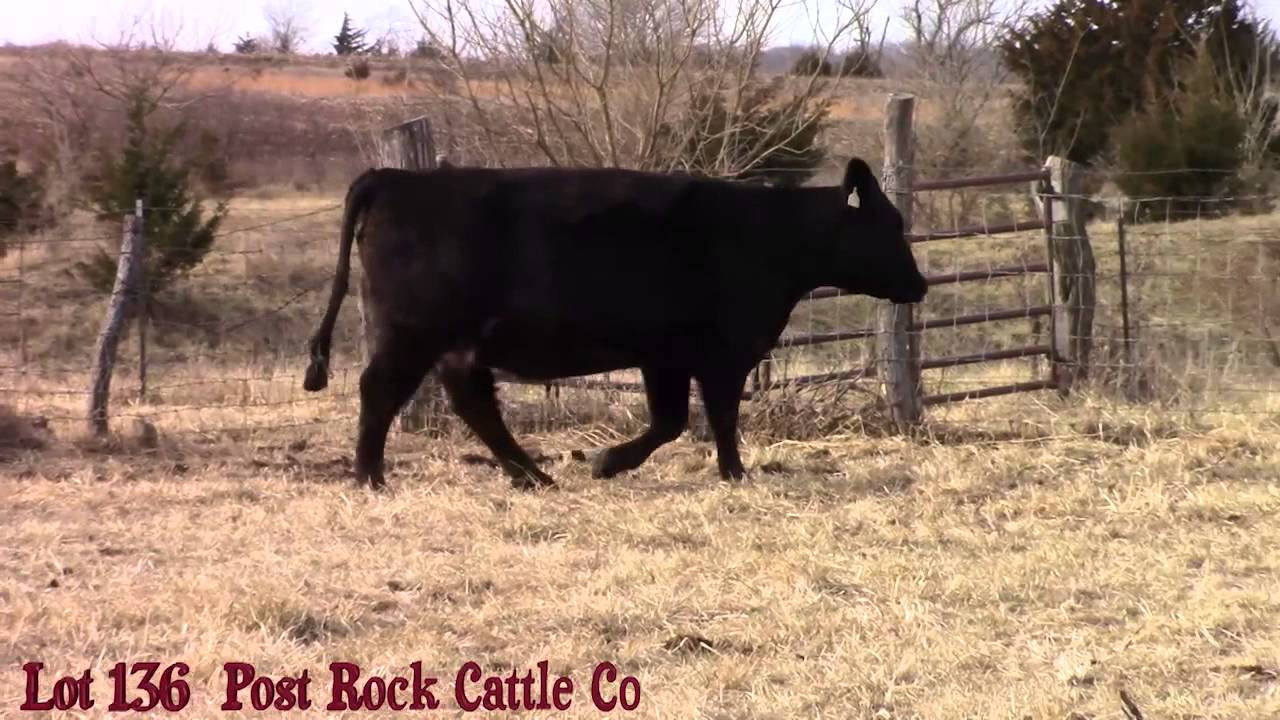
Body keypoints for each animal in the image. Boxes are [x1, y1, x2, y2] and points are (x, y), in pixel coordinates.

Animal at [303, 157, 928, 491]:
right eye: (889, 225)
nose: (920, 286)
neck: (771, 235)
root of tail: (398, 177)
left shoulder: (665, 356)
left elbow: (673, 421)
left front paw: (611, 462)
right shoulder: (720, 353)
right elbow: (716, 417)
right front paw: (732, 473)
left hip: (458, 343)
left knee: (472, 402)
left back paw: (532, 476)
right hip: (412, 333)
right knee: (381, 392)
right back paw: (370, 476)